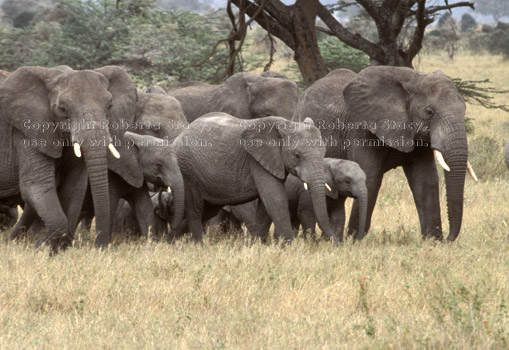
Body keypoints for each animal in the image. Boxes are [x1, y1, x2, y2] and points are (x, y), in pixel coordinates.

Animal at [0, 65, 137, 252]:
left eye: (110, 106)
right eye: (63, 109)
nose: (99, 247)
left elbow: (74, 186)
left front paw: (56, 248)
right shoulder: (26, 131)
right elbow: (36, 185)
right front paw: (41, 247)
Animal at [175, 113, 338, 243]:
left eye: (324, 152)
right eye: (297, 155)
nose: (334, 242)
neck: (285, 124)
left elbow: (265, 207)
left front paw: (256, 246)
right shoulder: (257, 161)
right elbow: (275, 200)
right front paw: (290, 247)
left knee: (208, 210)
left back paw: (173, 239)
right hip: (187, 170)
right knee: (195, 210)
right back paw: (197, 244)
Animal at [292, 66, 478, 241]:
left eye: (464, 109)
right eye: (429, 112)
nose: (448, 238)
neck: (414, 79)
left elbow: (426, 180)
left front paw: (433, 242)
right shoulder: (361, 128)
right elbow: (371, 178)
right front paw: (354, 240)